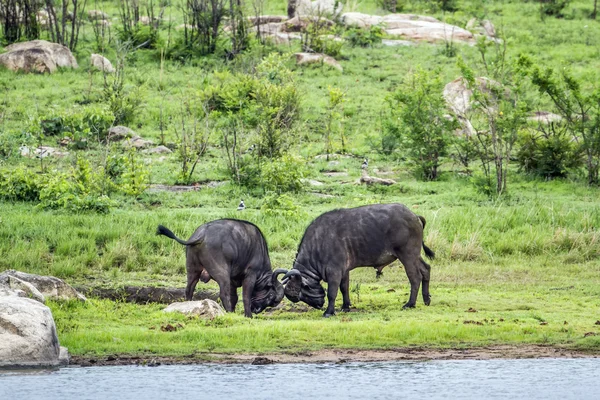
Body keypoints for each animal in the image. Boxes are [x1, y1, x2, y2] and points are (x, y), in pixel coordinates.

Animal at [155, 219, 286, 318]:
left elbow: (234, 297)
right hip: (222, 274)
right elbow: (245, 296)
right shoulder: (251, 275)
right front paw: (248, 315)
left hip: (193, 271)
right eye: (271, 297)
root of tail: (202, 234)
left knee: (189, 290)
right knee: (223, 294)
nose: (257, 310)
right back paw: (227, 312)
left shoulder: (233, 280)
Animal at [284, 205, 434, 318]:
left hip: (407, 255)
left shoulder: (334, 272)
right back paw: (426, 299)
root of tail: (414, 216)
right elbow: (344, 288)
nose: (319, 305)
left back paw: (410, 304)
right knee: (426, 269)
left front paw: (329, 312)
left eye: (301, 294)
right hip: (415, 255)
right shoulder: (344, 271)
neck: (318, 243)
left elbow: (332, 292)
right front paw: (345, 307)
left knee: (415, 278)